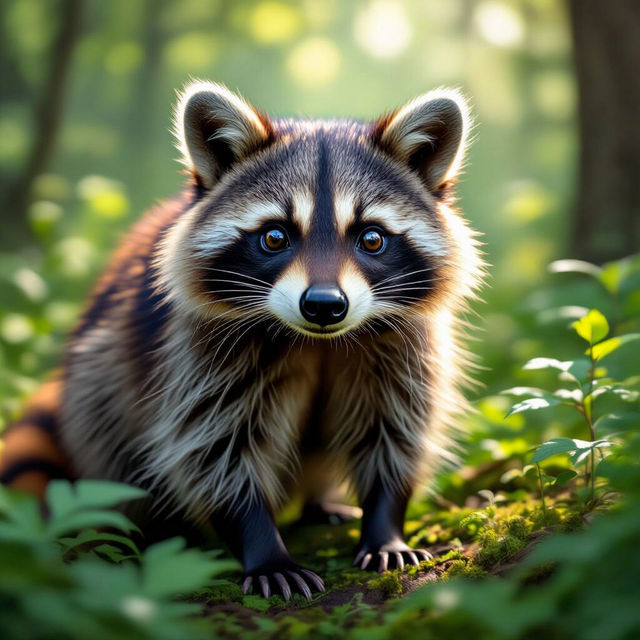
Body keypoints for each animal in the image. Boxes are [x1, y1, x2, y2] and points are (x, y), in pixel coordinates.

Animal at [0, 81, 483, 600]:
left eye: (371, 239)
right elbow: (214, 447)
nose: (324, 305)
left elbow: (395, 430)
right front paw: (261, 543)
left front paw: (385, 521)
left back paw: (320, 501)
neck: (317, 340)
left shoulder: (406, 345)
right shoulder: (195, 351)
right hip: (99, 375)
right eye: (274, 236)